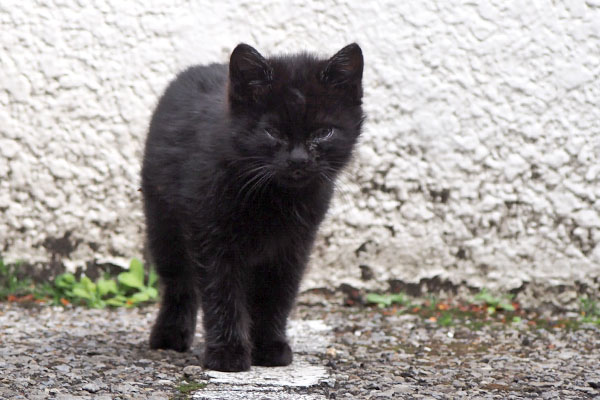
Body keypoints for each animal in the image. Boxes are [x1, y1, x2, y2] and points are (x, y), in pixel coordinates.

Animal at [143, 42, 364, 370]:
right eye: (272, 132)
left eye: (324, 132)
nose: (299, 160)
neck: (274, 199)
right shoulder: (212, 236)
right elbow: (221, 293)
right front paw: (228, 354)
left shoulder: (293, 246)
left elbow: (276, 296)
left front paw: (269, 347)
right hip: (163, 220)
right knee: (178, 282)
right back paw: (170, 335)